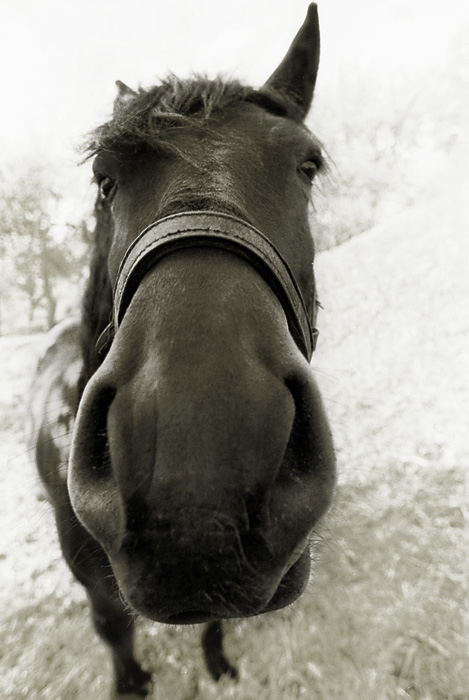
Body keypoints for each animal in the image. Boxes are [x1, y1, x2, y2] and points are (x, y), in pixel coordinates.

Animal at [29, 4, 334, 696]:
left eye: (307, 166)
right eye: (105, 180)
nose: (195, 475)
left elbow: (213, 624)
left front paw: (218, 666)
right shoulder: (94, 585)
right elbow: (113, 629)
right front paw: (130, 681)